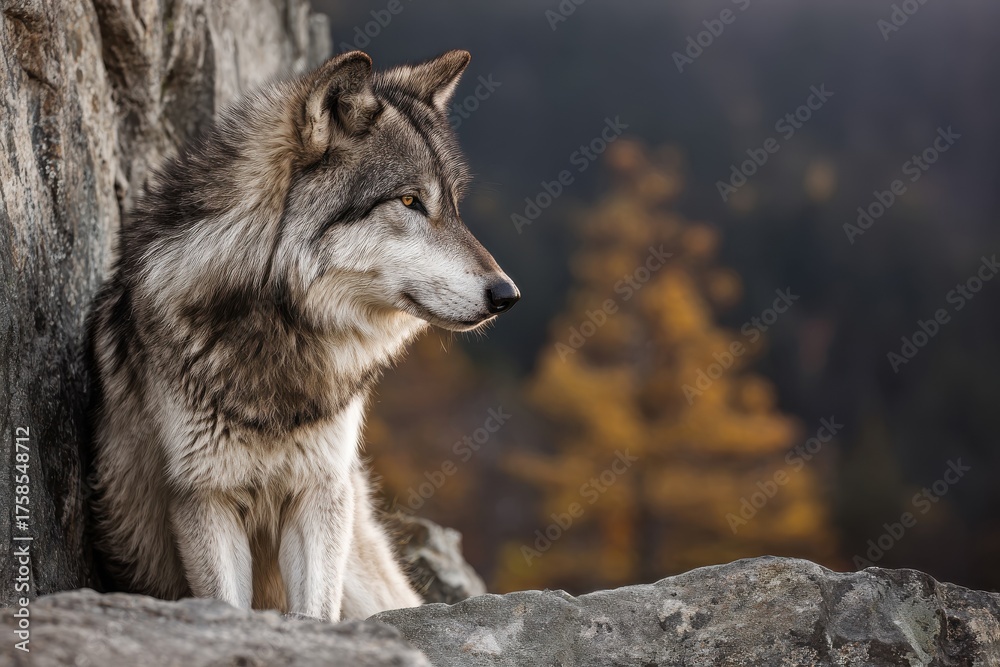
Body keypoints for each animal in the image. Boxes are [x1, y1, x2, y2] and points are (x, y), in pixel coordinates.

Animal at [89, 49, 519, 621]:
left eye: (452, 206)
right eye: (409, 201)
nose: (507, 293)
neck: (281, 332)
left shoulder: (319, 492)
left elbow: (315, 611)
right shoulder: (204, 496)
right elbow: (226, 602)